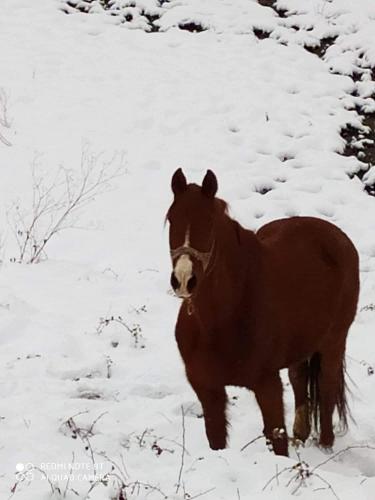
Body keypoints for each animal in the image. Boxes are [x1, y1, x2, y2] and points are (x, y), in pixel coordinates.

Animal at [168, 169, 362, 458]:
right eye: (171, 218)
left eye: (210, 222)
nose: (183, 280)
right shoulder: (207, 388)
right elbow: (216, 438)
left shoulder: (267, 384)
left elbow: (277, 437)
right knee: (299, 380)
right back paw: (301, 435)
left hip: (334, 342)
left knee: (326, 388)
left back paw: (326, 445)